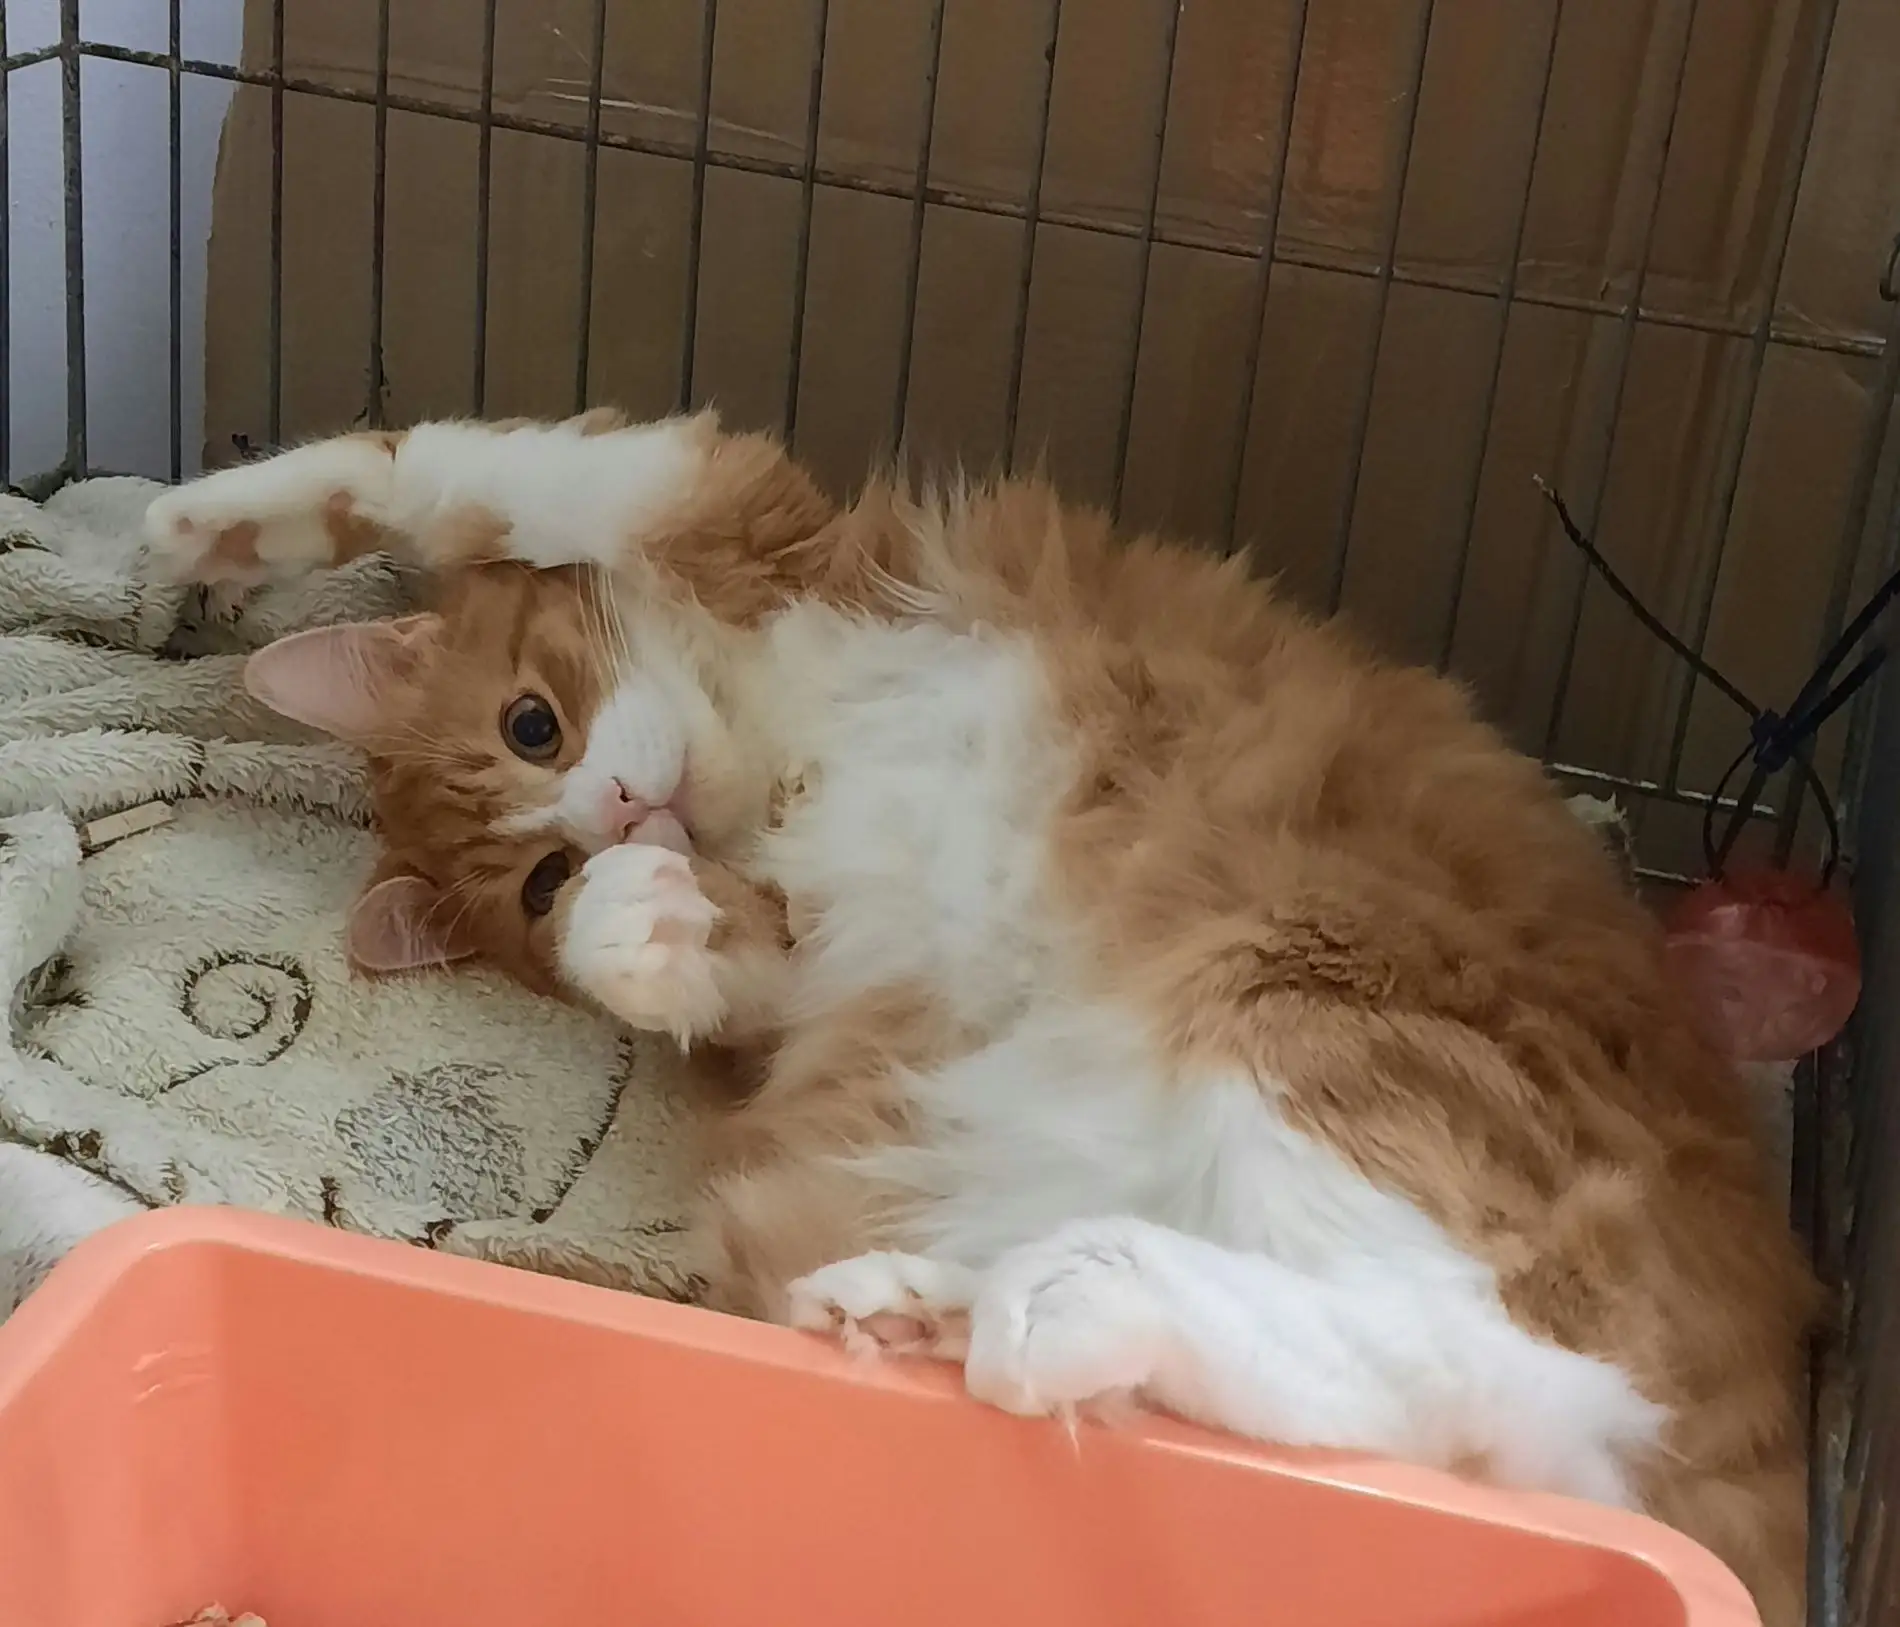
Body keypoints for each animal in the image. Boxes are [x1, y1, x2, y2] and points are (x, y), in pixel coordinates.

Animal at [145, 410, 1814, 1623]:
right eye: (538, 876)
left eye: (534, 724)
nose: (618, 815)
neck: (769, 758)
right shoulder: (809, 949)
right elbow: (696, 946)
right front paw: (644, 916)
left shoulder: (731, 512)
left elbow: (453, 474)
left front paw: (204, 524)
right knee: (1431, 1414)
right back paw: (945, 1313)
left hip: (1307, 1009)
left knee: (1482, 1360)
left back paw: (1050, 1299)